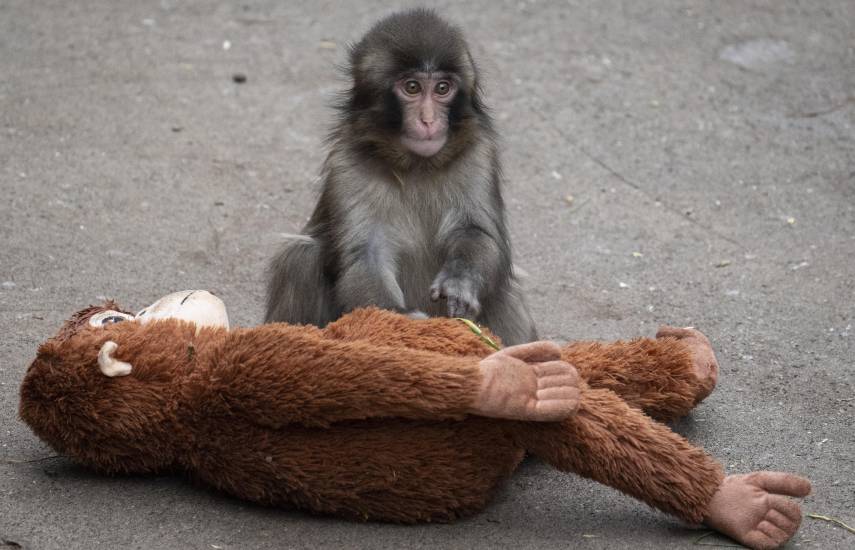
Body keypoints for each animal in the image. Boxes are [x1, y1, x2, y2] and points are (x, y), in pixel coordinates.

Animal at [265, 8, 537, 346]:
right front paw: (403, 320)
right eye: (412, 88)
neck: (416, 166)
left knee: (503, 289)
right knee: (300, 257)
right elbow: (367, 254)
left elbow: (477, 232)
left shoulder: (478, 155)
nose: (429, 120)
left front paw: (460, 281)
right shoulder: (347, 164)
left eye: (442, 88)